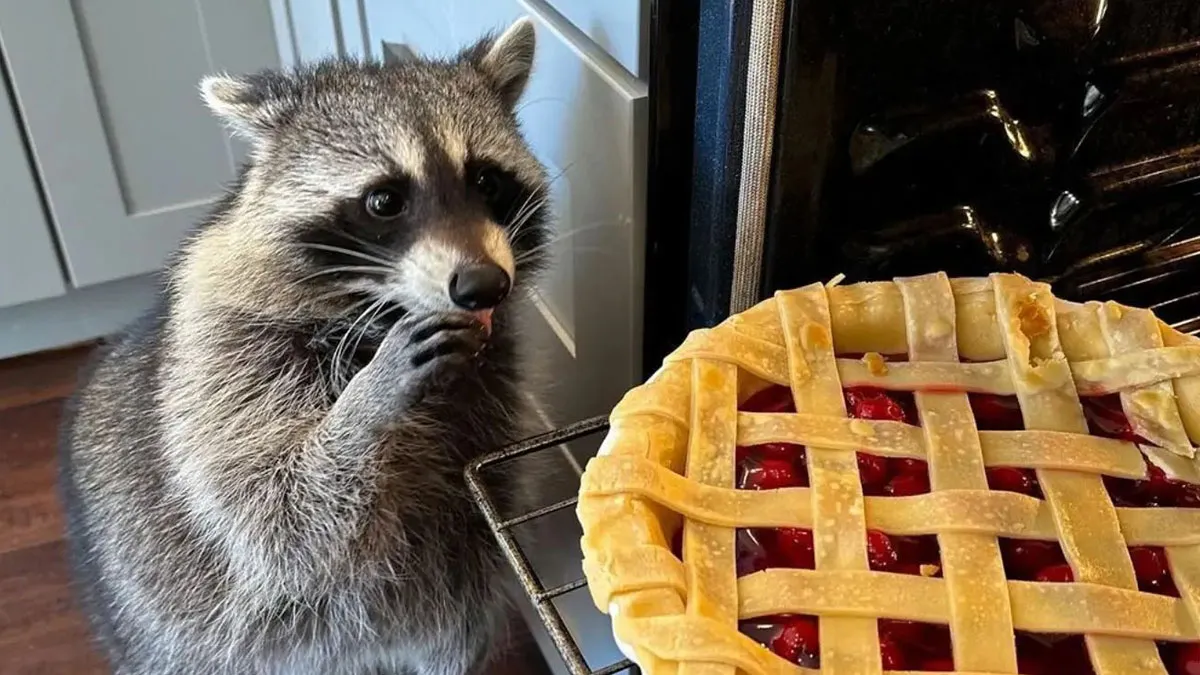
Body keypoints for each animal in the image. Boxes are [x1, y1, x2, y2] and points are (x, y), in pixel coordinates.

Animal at [57, 18, 551, 675]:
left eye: (486, 180)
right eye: (384, 200)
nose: (484, 286)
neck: (379, 305)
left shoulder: (496, 378)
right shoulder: (222, 359)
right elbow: (276, 515)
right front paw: (366, 407)